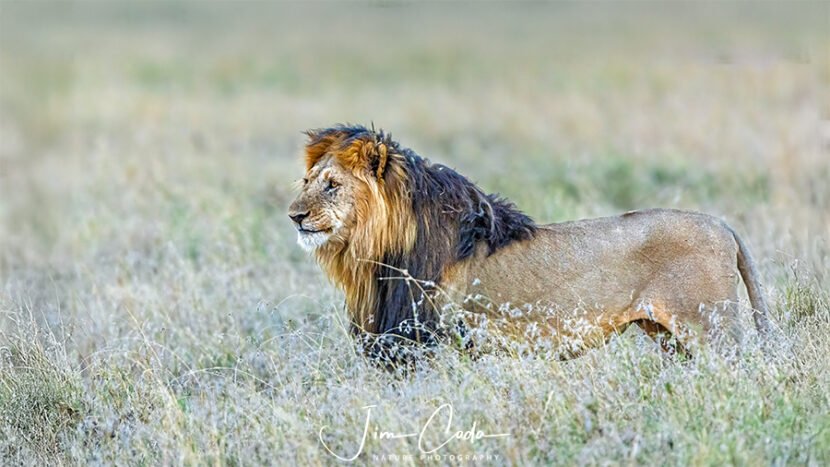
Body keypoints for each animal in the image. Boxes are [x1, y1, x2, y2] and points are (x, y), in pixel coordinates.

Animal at [288, 124, 771, 360]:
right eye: (308, 182)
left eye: (332, 186)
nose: (294, 215)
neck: (373, 257)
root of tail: (722, 225)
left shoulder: (430, 340)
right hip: (672, 338)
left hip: (712, 331)